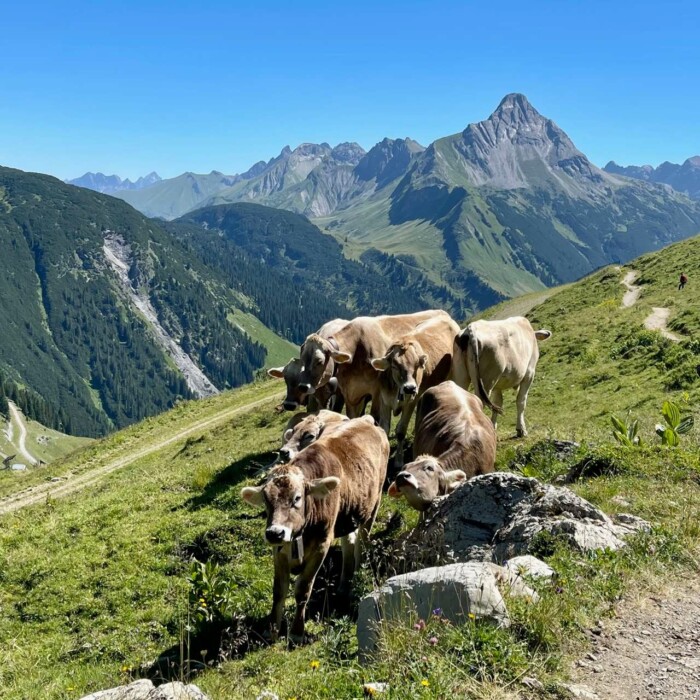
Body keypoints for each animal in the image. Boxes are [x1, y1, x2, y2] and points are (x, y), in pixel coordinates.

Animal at [240, 415, 389, 643]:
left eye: (297, 498)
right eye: (266, 501)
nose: (275, 532)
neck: (298, 537)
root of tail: (365, 419)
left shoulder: (321, 544)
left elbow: (302, 589)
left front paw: (296, 632)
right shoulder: (278, 550)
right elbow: (278, 590)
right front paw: (271, 630)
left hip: (374, 502)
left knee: (362, 542)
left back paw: (356, 575)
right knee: (349, 541)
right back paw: (344, 583)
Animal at [297, 310, 449, 432]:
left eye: (319, 361)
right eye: (302, 359)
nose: (303, 386)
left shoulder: (376, 391)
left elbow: (374, 416)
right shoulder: (349, 392)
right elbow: (351, 416)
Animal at [369, 314, 460, 468]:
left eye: (418, 365)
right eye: (395, 364)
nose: (410, 388)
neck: (397, 390)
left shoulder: (411, 401)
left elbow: (400, 431)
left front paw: (398, 461)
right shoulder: (384, 400)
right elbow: (384, 429)